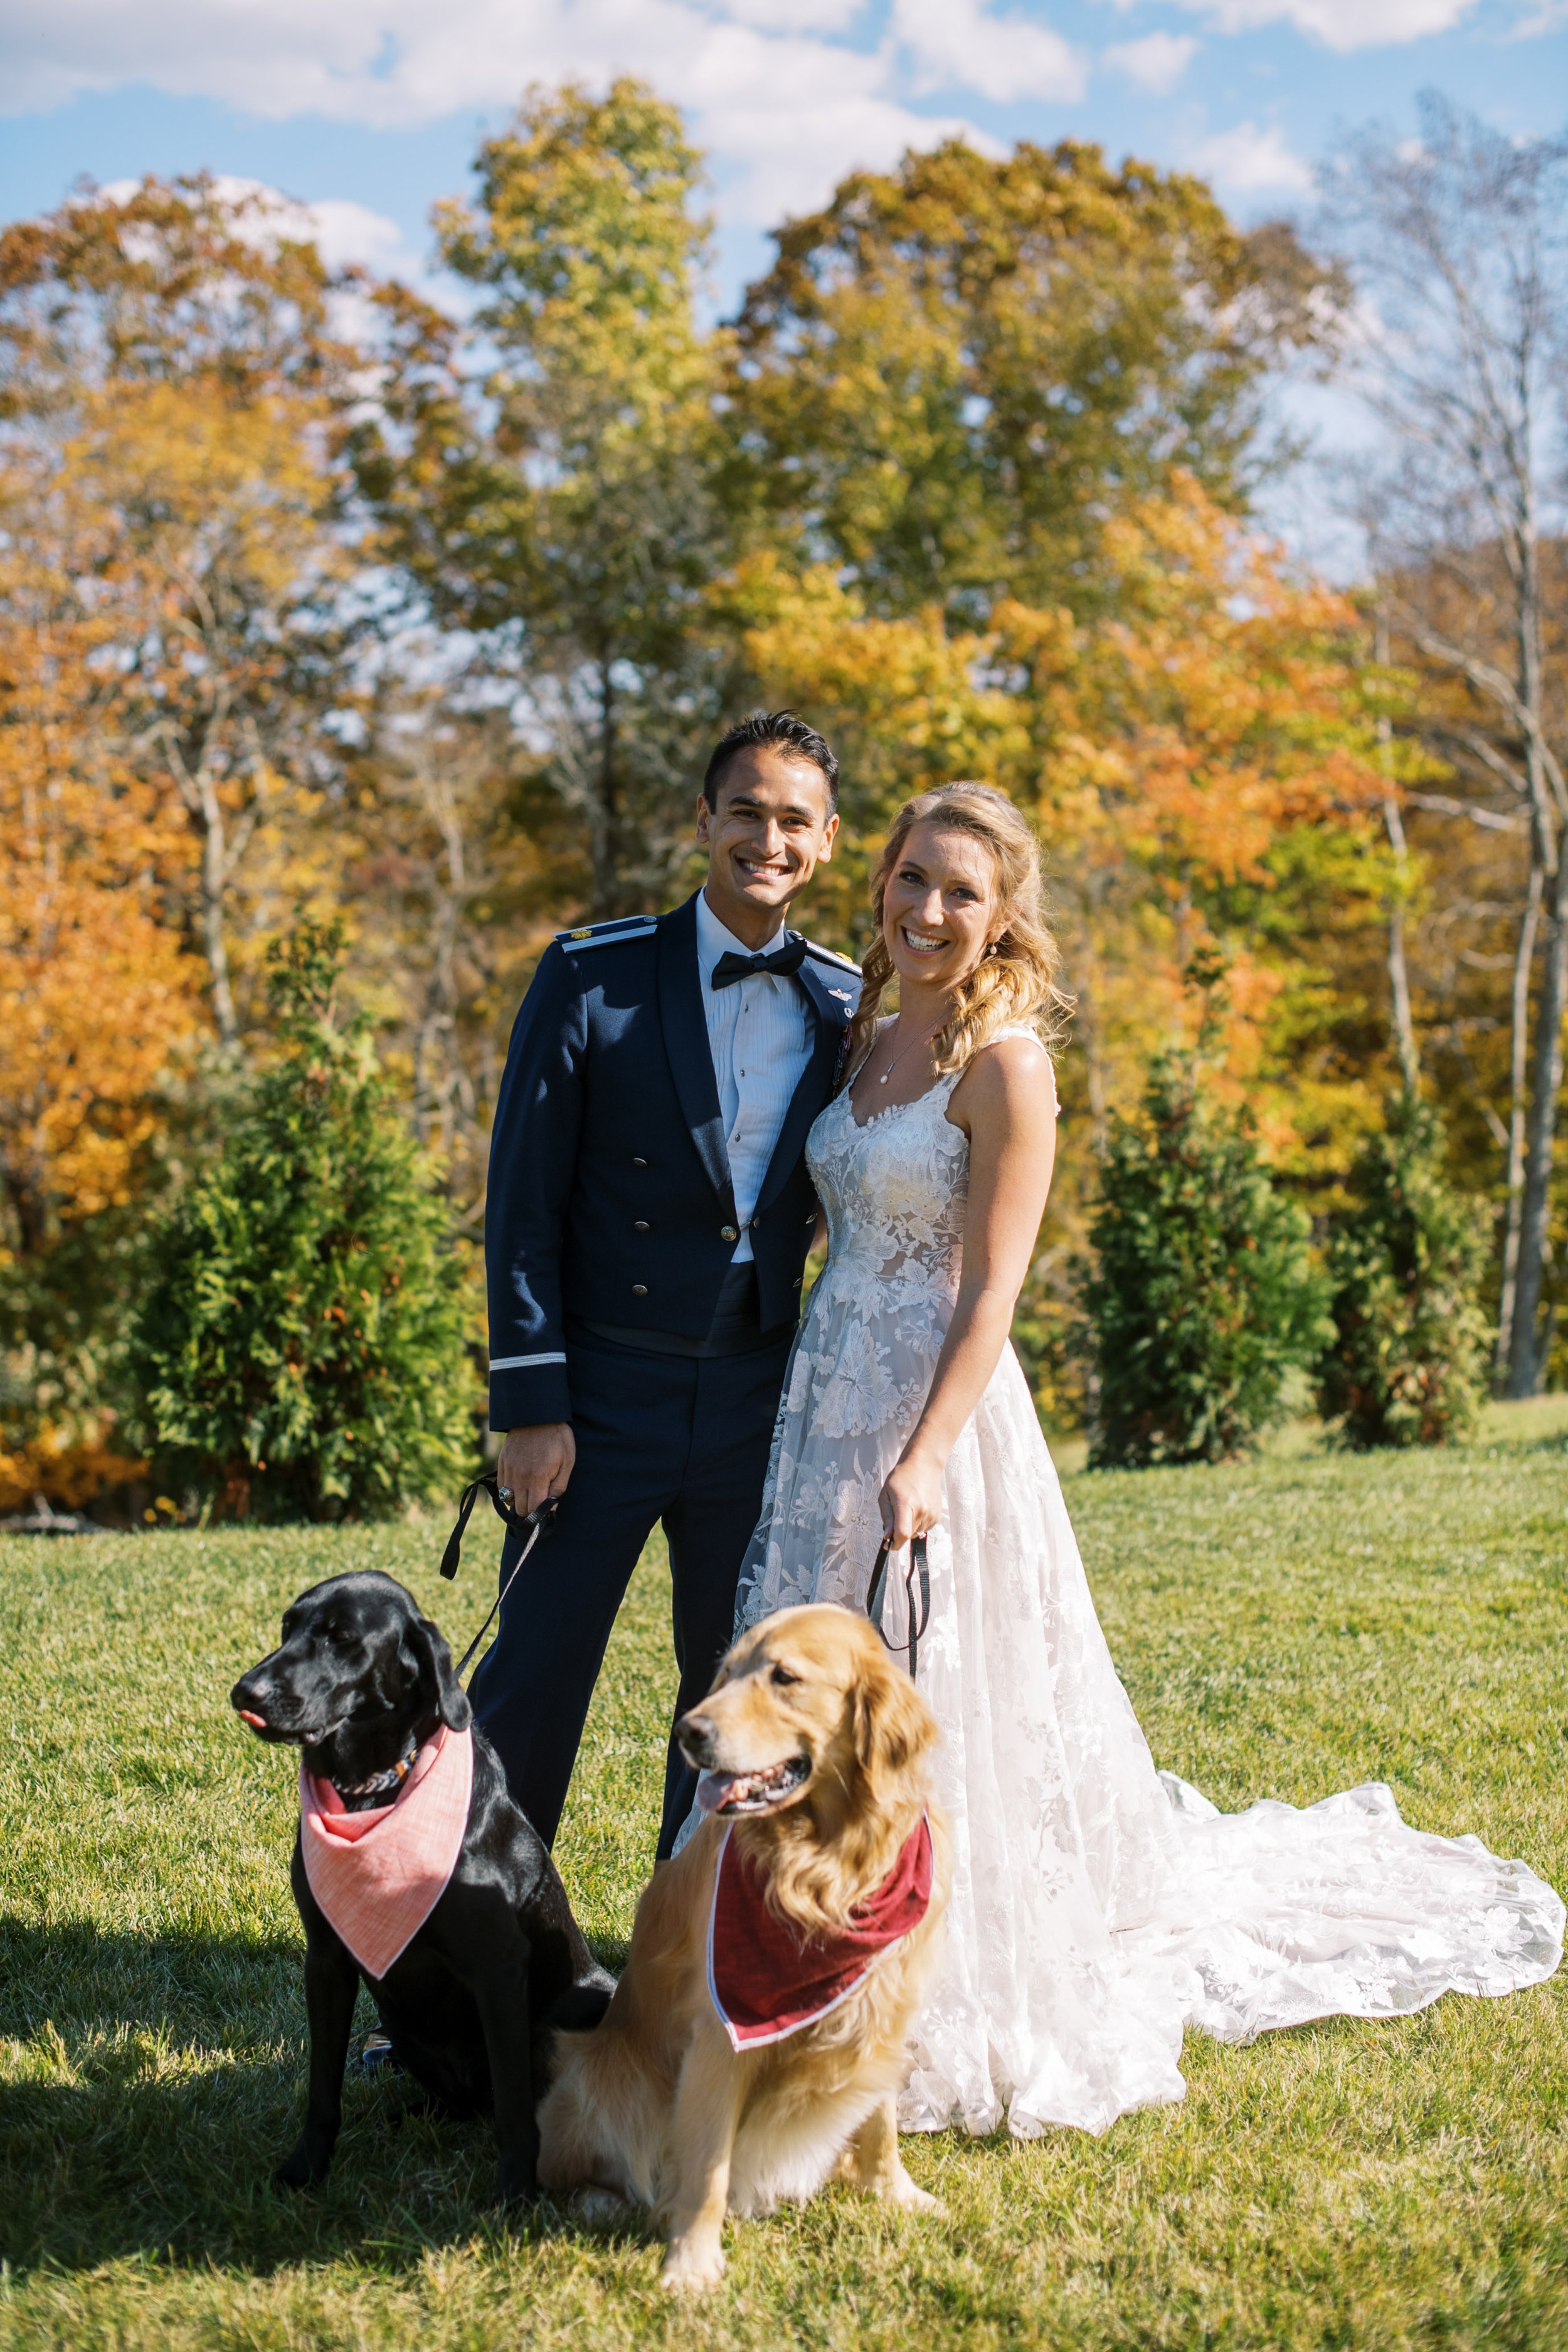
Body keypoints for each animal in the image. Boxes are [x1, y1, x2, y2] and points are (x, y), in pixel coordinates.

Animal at [233, 1581, 611, 2201]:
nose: (246, 1691)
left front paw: (514, 2193)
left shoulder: (498, 1967)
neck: (373, 1791)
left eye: (342, 1637)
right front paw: (306, 2168)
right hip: (404, 2033)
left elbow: (515, 2109)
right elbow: (322, 2090)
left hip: (582, 2011)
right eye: (287, 1627)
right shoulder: (326, 1960)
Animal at [533, 1609, 950, 2286]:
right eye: (727, 1674)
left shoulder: (883, 2007)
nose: (688, 1732)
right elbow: (707, 2167)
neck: (826, 1868)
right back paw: (604, 2203)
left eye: (785, 1677)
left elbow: (881, 2124)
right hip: (598, 2078)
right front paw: (692, 2265)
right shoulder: (720, 2038)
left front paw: (896, 2196)